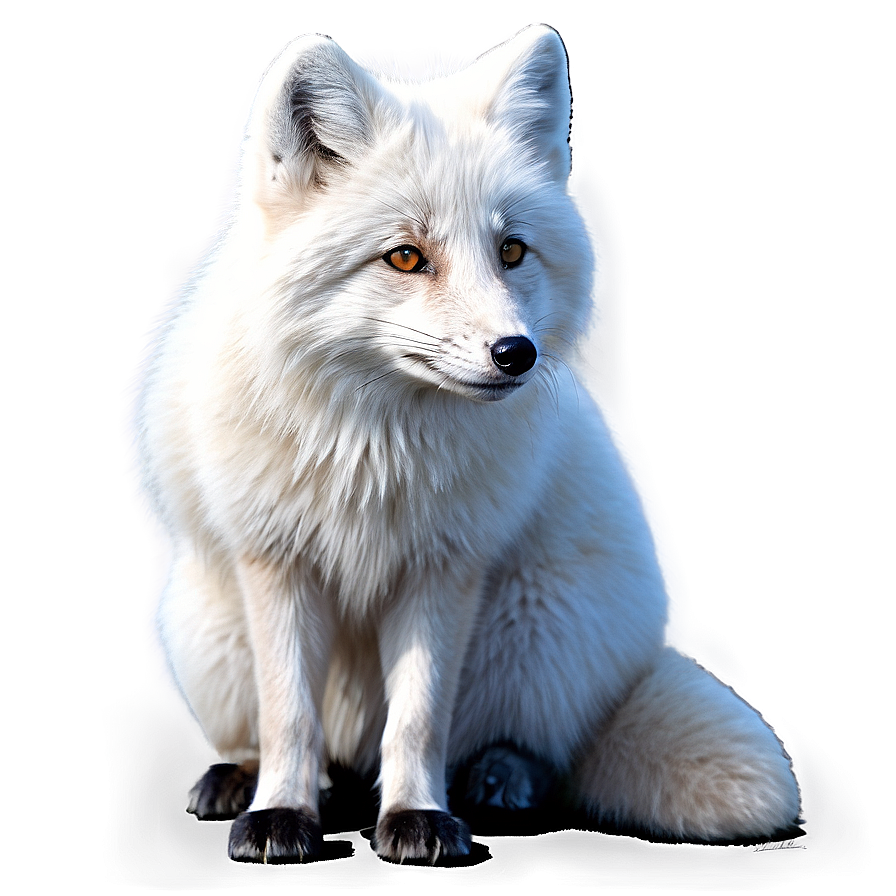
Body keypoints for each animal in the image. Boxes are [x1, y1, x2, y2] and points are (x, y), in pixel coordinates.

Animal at [134, 25, 800, 864]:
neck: (374, 451)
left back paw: (498, 779)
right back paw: (256, 776)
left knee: (540, 744)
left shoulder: (444, 566)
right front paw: (282, 812)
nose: (517, 354)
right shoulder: (277, 562)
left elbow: (420, 718)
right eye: (405, 256)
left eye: (512, 251)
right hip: (207, 630)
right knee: (279, 733)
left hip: (538, 627)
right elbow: (288, 713)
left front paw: (417, 817)